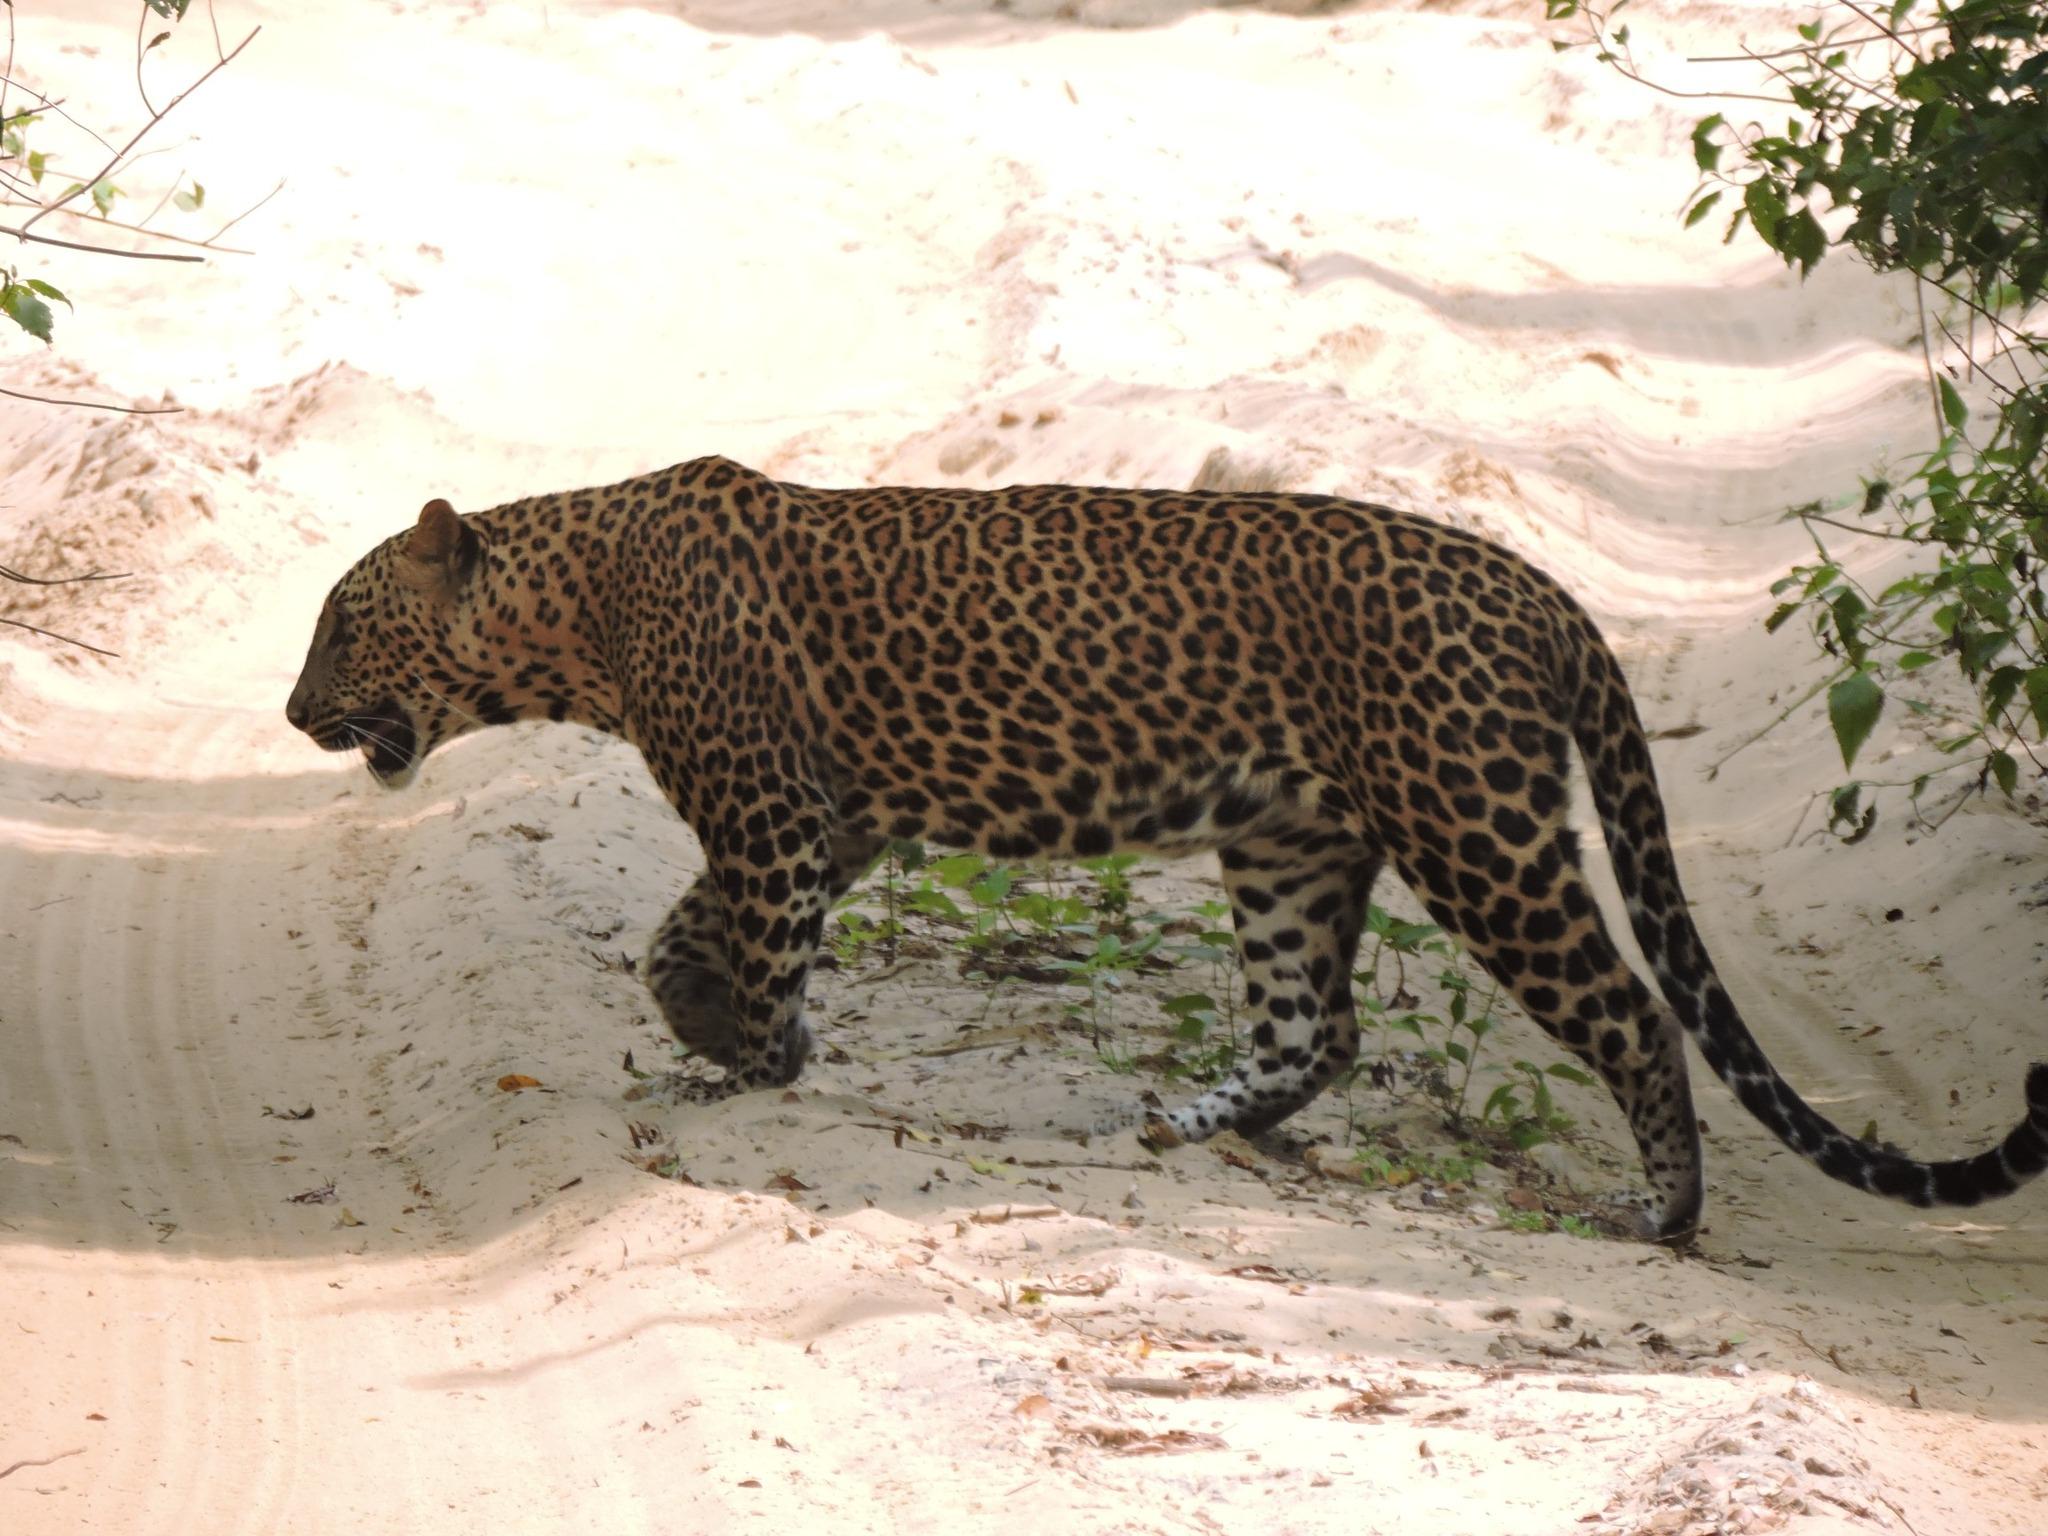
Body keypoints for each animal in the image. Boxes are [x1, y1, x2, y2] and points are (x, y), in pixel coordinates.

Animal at [286, 454, 2048, 1240]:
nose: (295, 712)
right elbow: (686, 931)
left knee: (1624, 1011)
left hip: (1475, 827)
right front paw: (720, 1026)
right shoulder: (837, 816)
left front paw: (749, 1065)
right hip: (1291, 843)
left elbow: (749, 935)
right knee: (1316, 1026)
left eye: (344, 626)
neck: (575, 609)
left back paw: (1662, 1213)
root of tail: (1541, 590)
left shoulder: (780, 811)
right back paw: (1183, 1123)